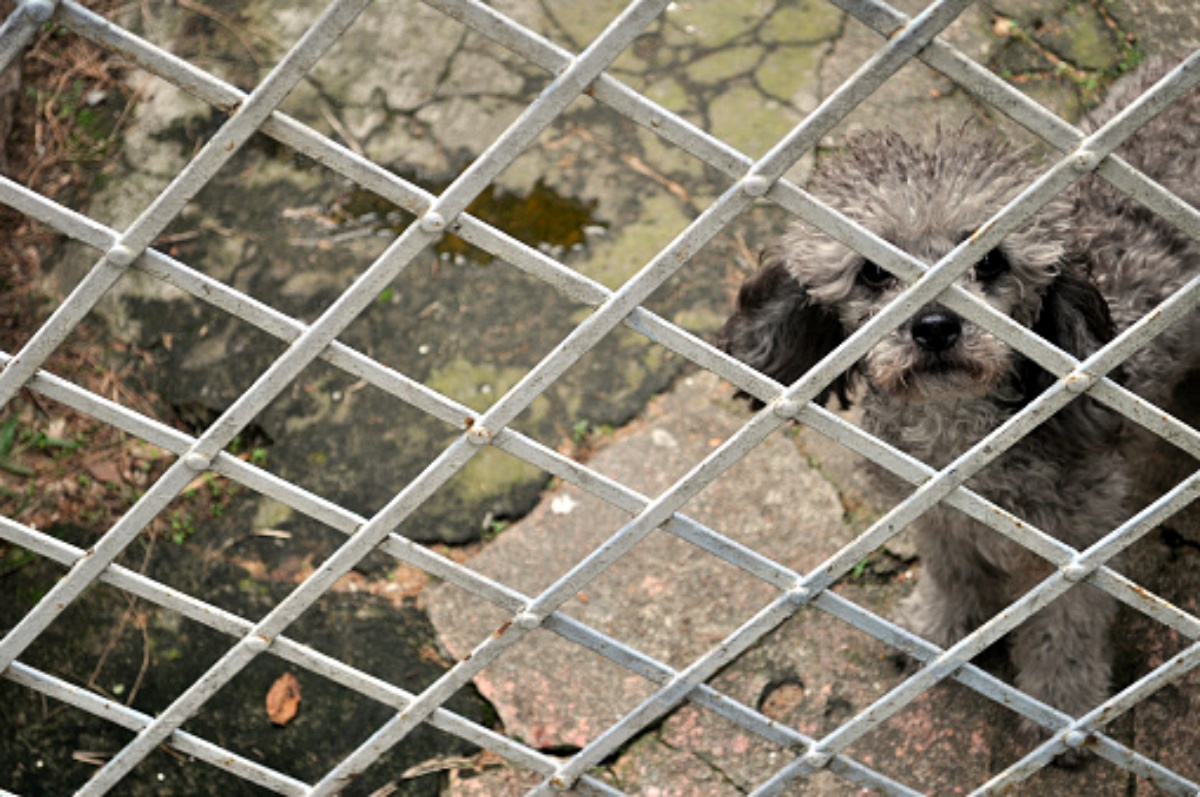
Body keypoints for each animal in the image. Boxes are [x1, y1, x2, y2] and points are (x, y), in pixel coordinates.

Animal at [715, 62, 1200, 758]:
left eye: (990, 261)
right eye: (873, 273)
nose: (936, 327)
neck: (958, 440)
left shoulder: (1077, 554)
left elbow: (1063, 633)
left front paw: (1060, 711)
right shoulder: (938, 520)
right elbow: (953, 579)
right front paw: (937, 630)